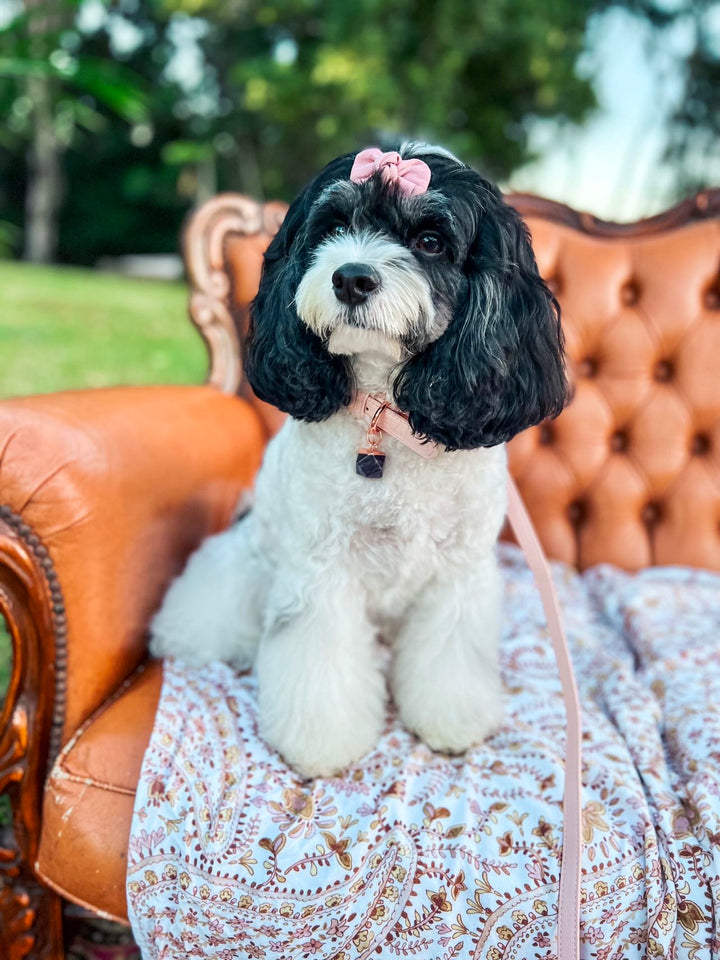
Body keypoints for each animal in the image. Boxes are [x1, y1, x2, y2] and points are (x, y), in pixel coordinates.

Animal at [150, 144, 568, 780]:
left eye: (430, 240)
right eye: (332, 227)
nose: (350, 277)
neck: (387, 420)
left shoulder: (459, 574)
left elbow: (449, 658)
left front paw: (452, 719)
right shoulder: (321, 572)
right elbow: (320, 663)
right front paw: (321, 743)